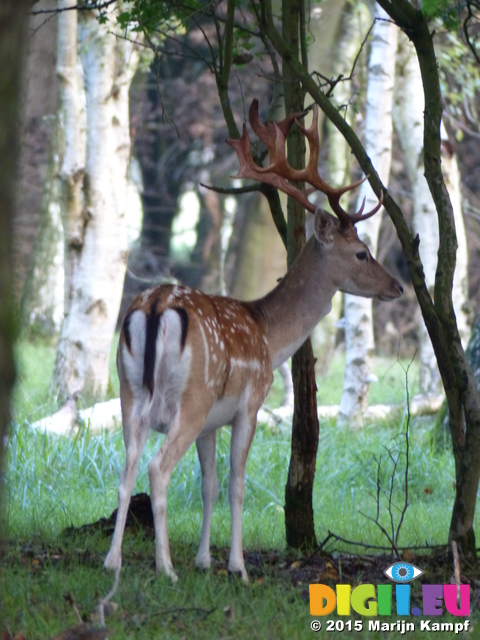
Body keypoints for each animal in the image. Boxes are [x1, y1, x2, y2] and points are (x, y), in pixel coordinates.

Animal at [103, 100, 404, 584]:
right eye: (361, 253)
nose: (396, 286)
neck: (268, 335)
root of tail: (154, 307)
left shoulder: (210, 422)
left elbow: (208, 485)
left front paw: (204, 559)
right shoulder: (250, 403)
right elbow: (236, 485)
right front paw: (237, 566)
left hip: (129, 392)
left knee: (127, 467)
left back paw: (113, 560)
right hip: (192, 397)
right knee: (156, 467)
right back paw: (165, 568)